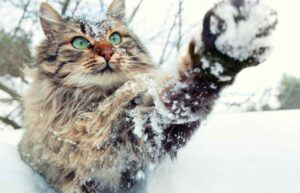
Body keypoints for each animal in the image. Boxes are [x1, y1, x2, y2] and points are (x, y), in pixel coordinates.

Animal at [18, 0, 276, 193]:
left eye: (115, 38)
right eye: (80, 42)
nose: (108, 52)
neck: (93, 104)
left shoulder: (144, 129)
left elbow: (186, 91)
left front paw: (229, 44)